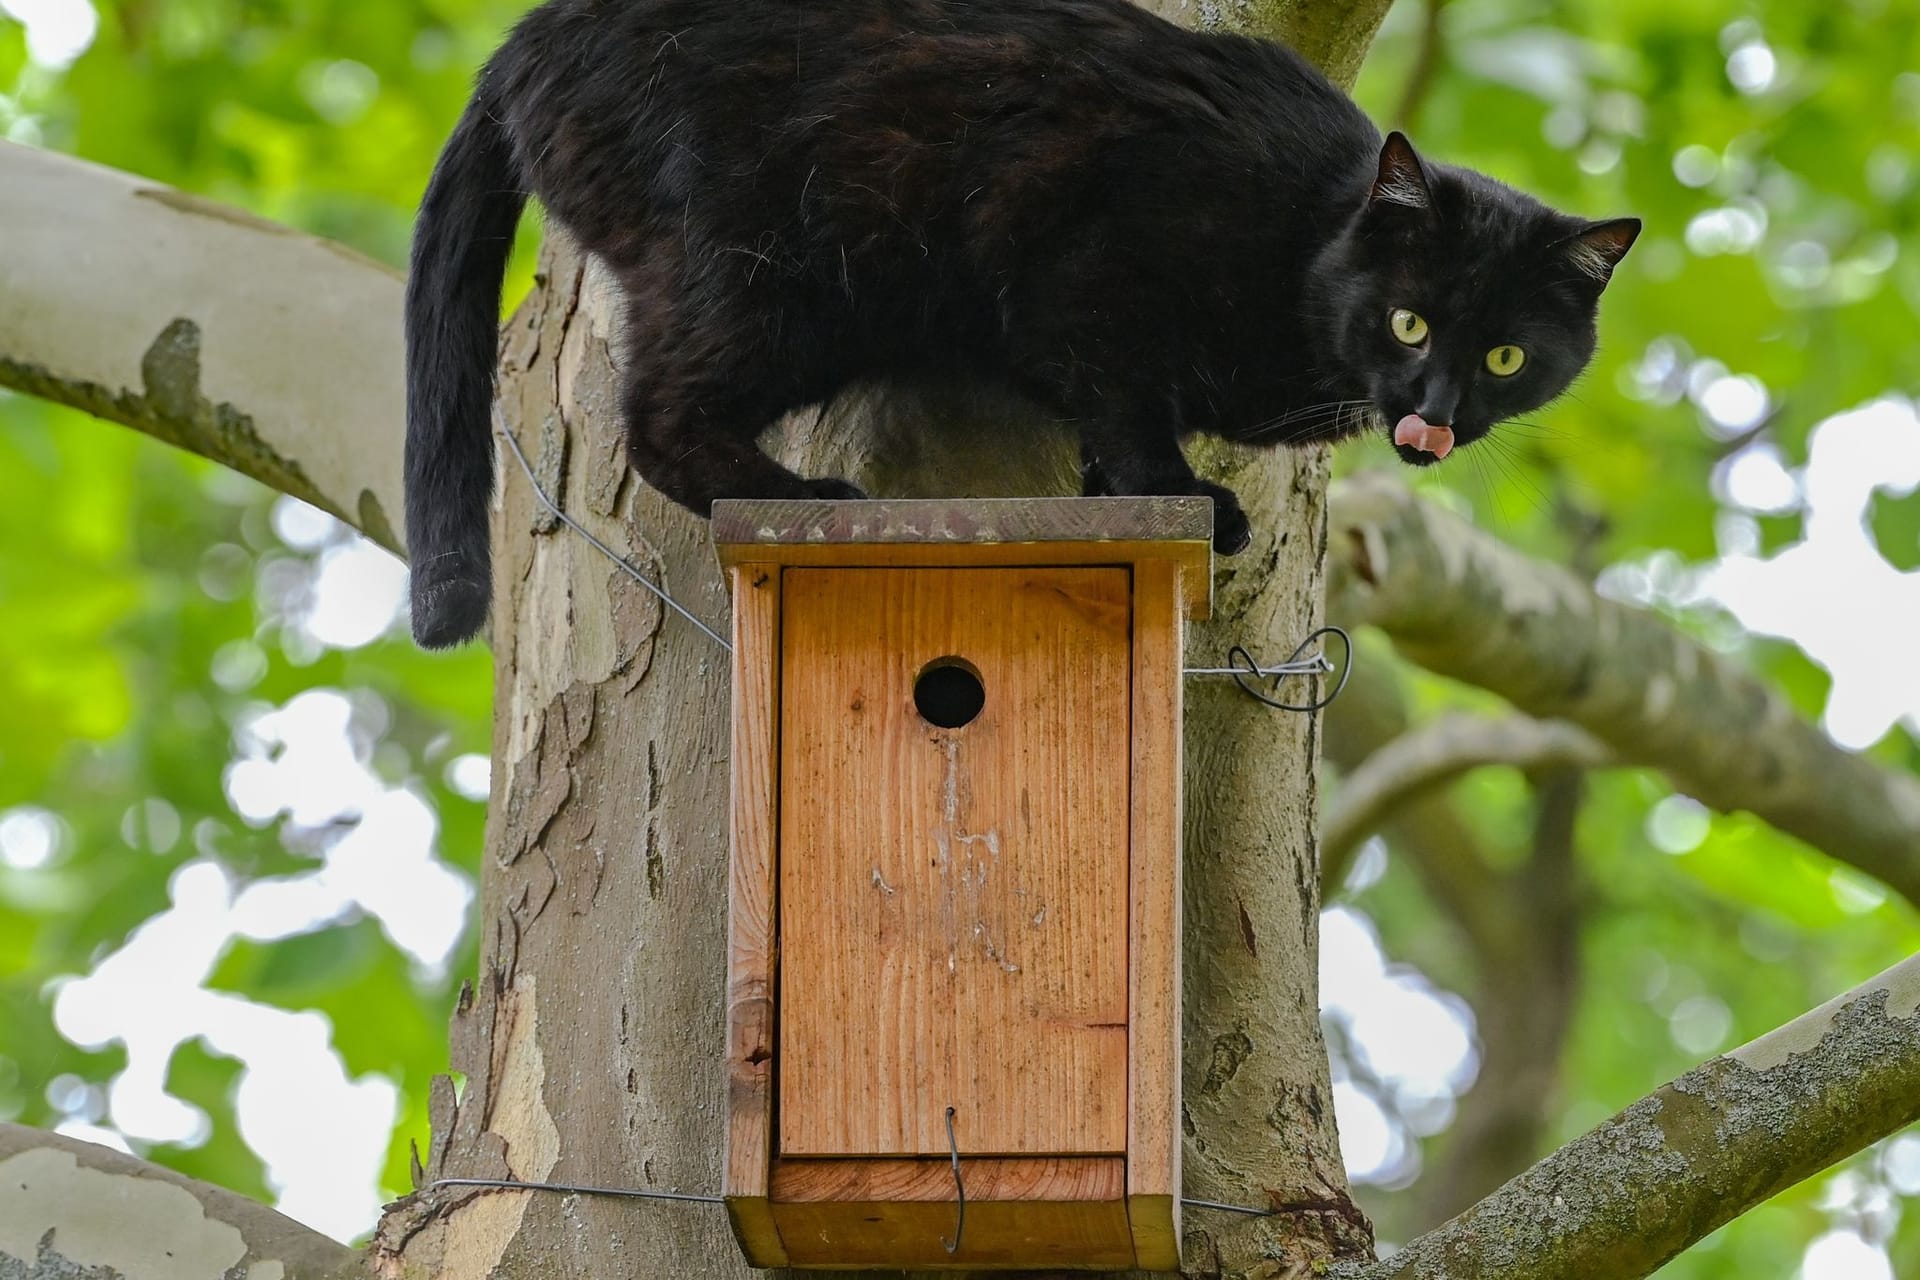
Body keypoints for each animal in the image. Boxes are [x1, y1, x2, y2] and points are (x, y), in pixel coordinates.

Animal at [405, 0, 1635, 644]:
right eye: (1411, 324)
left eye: (1508, 356)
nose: (1436, 411)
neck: (1301, 239)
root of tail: (523, 40)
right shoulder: (1090, 264)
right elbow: (1127, 401)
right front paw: (1184, 496)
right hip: (774, 273)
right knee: (657, 415)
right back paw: (803, 497)